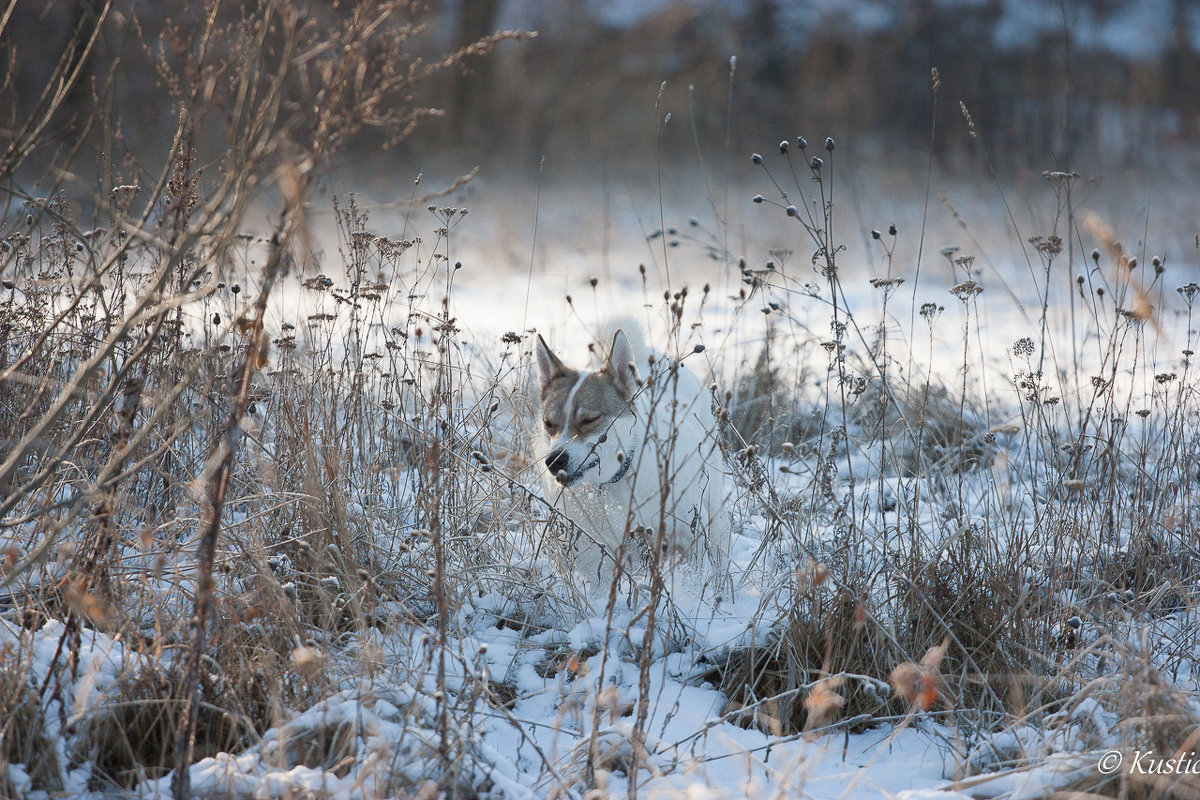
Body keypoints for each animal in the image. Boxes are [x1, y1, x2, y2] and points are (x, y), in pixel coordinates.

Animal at [537, 321, 729, 585]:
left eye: (589, 419)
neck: (614, 481)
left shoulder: (691, 536)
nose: (554, 460)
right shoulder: (597, 555)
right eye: (548, 423)